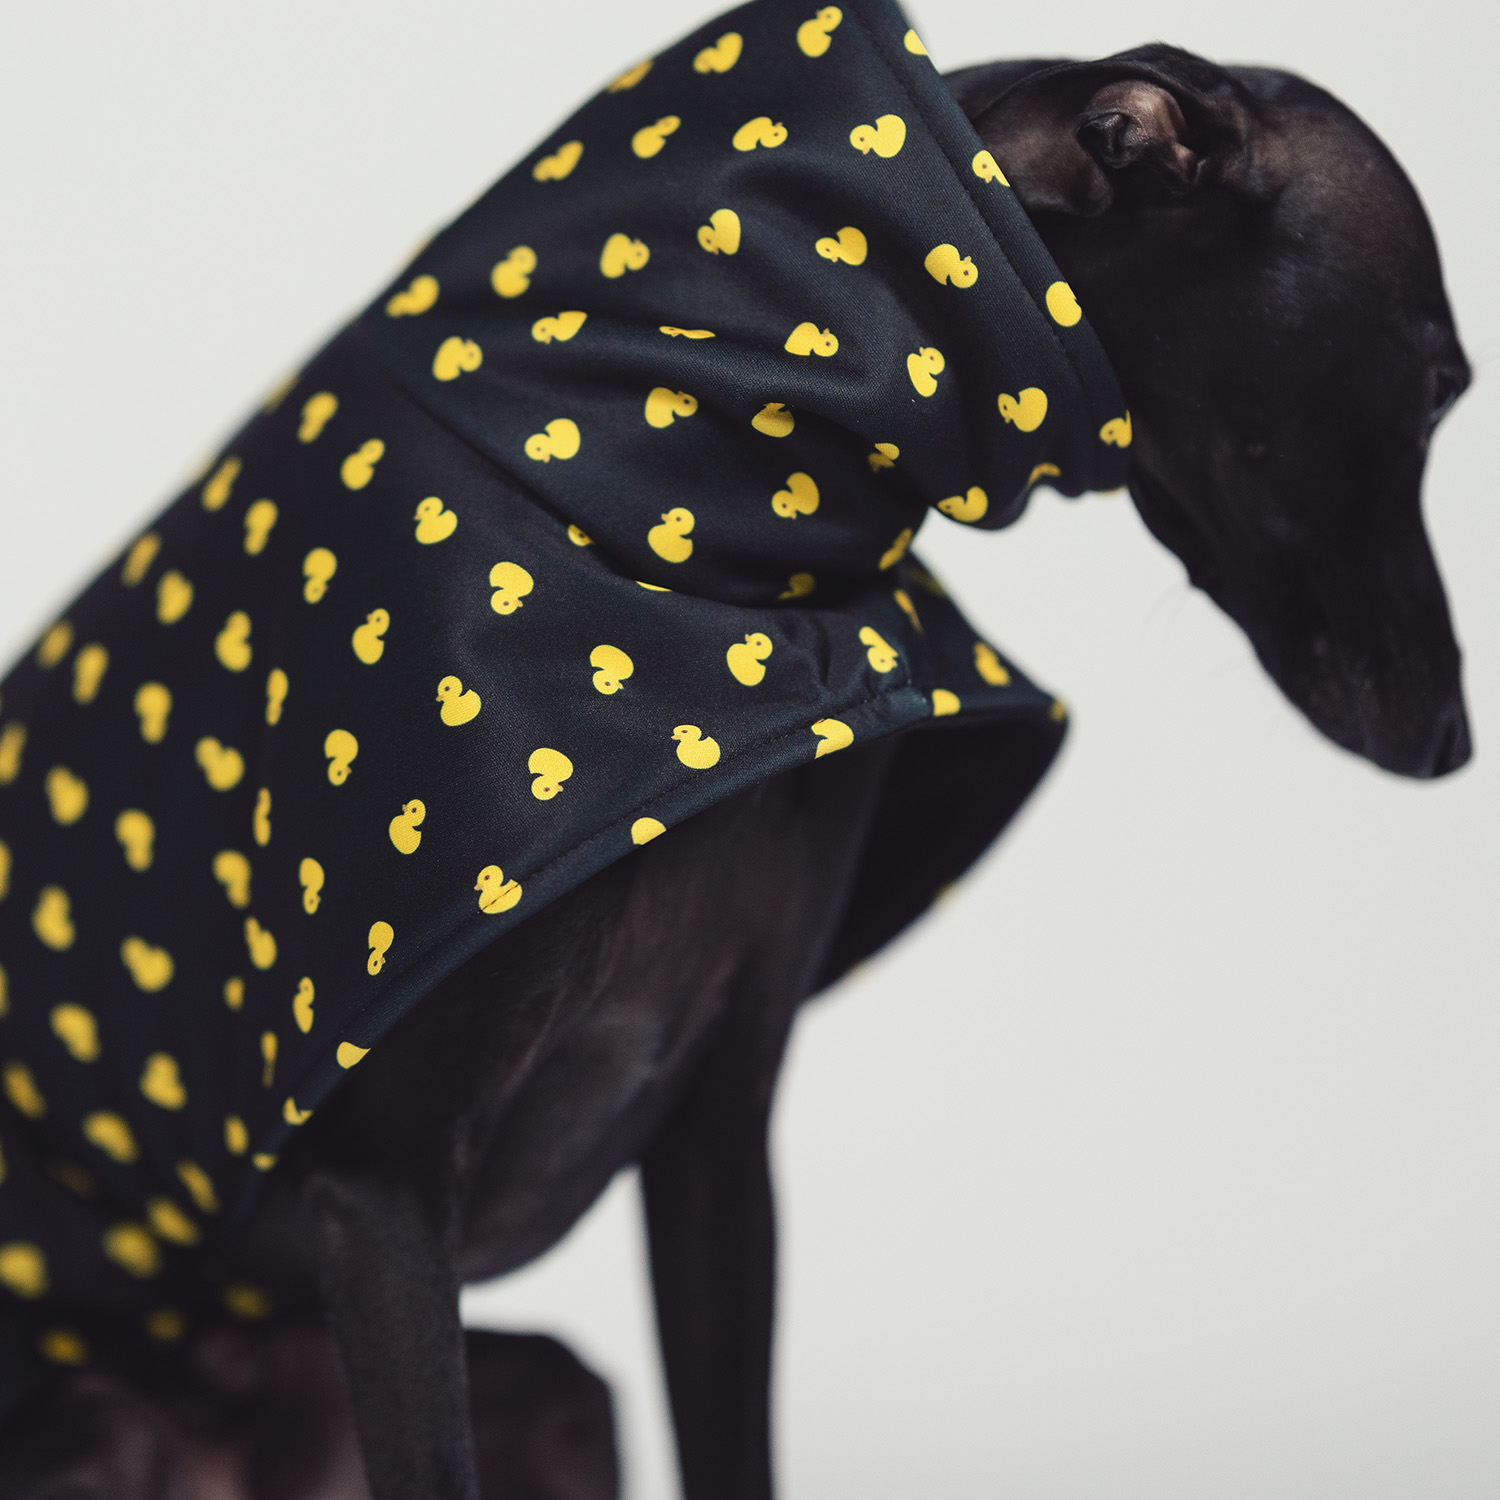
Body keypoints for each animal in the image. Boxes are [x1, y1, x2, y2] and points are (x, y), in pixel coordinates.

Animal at [0, 13, 1469, 1500]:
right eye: (1443, 389)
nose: (1455, 743)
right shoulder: (384, 1198)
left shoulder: (717, 1132)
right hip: (113, 1433)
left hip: (559, 1404)